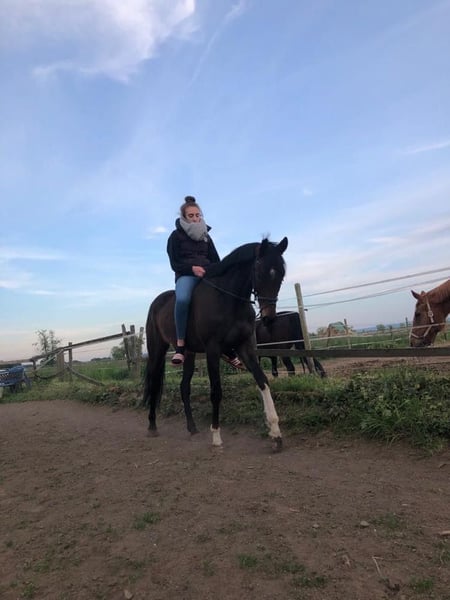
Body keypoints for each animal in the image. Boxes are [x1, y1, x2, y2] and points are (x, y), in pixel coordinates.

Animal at [143, 237, 288, 451]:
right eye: (260, 272)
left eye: (281, 275)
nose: (269, 318)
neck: (229, 299)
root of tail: (157, 302)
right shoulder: (212, 349)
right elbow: (216, 391)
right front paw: (216, 436)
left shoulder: (246, 347)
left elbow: (263, 381)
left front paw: (276, 434)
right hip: (157, 350)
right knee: (154, 383)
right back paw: (152, 426)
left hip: (189, 354)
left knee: (184, 387)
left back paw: (192, 428)